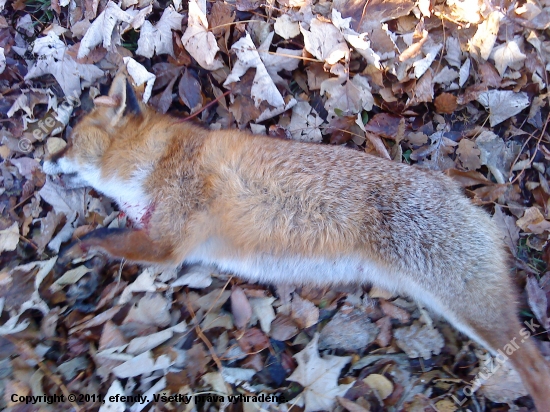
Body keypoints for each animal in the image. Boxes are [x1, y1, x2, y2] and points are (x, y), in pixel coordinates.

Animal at [44, 75, 550, 408]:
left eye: (71, 139)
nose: (46, 161)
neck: (160, 163)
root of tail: (462, 196)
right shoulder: (174, 244)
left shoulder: (167, 244)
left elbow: (100, 238)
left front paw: (69, 253)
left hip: (471, 308)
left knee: (535, 365)